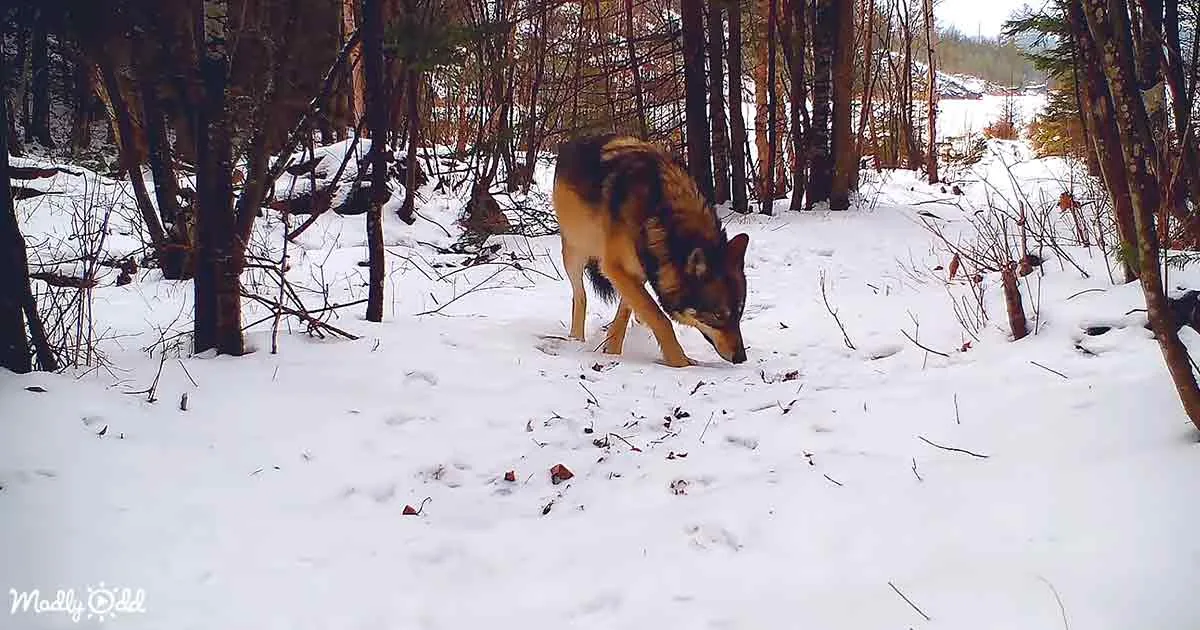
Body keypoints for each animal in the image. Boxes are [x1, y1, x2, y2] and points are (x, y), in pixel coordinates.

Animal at [551, 134, 750, 368]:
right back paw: (576, 340)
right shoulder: (614, 266)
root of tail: (572, 142)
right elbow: (659, 317)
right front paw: (680, 362)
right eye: (718, 315)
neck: (661, 213)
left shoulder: (636, 270)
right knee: (580, 295)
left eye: (739, 313)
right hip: (575, 253)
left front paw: (612, 351)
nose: (741, 358)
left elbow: (627, 311)